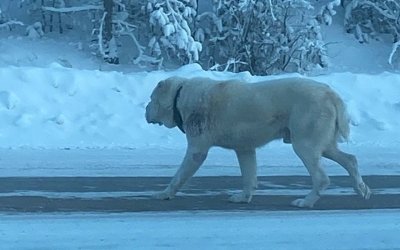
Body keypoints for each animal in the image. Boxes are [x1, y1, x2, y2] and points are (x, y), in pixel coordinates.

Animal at [145, 75, 372, 207]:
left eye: (151, 99)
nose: (145, 110)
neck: (180, 96)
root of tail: (330, 93)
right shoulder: (244, 148)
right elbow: (249, 175)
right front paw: (243, 197)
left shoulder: (197, 149)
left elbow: (180, 175)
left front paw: (164, 193)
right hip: (322, 143)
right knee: (350, 159)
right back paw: (362, 189)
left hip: (304, 143)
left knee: (322, 177)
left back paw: (305, 202)